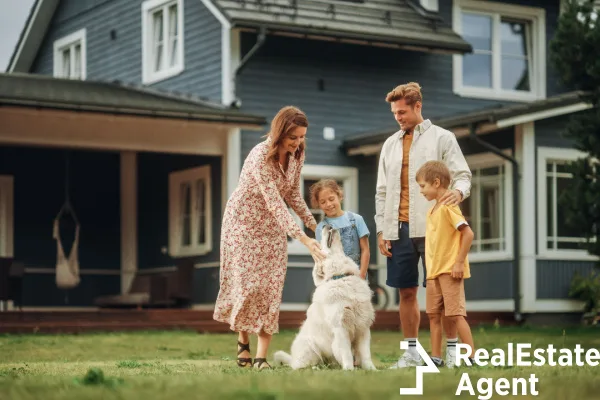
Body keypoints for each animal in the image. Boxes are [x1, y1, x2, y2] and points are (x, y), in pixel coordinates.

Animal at [274, 227, 376, 370]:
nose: (326, 226)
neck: (341, 276)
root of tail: (293, 359)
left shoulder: (363, 327)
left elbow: (366, 354)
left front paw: (372, 370)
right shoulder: (340, 328)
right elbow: (346, 353)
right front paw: (349, 370)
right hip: (310, 347)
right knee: (301, 366)